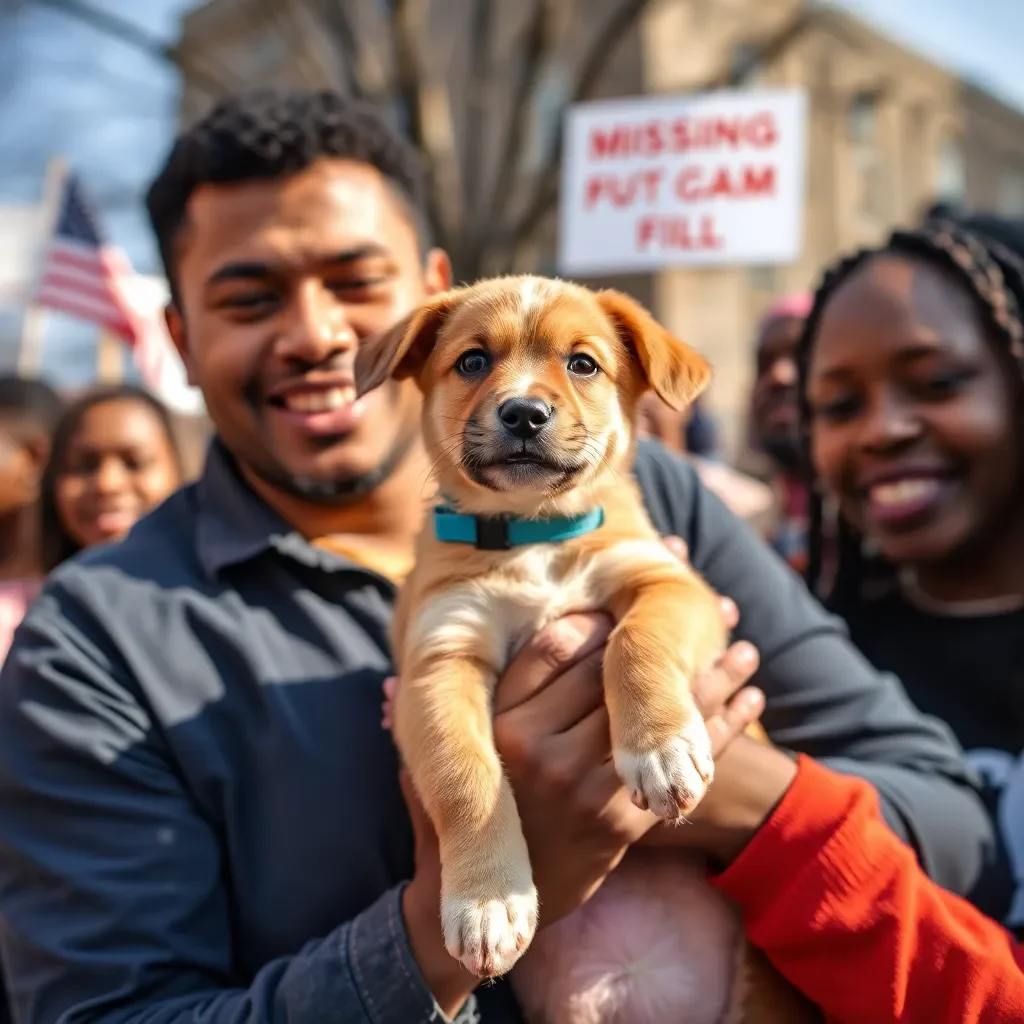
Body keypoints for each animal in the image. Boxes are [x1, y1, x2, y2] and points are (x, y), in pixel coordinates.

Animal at [358, 276, 729, 978]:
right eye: (473, 361)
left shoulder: (670, 583)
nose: (524, 413)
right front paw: (487, 901)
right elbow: (464, 775)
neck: (531, 533)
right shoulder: (441, 657)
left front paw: (660, 749)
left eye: (583, 364)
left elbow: (634, 642)